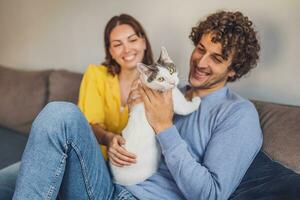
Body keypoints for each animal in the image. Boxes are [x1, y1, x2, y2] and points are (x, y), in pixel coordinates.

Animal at [109, 46, 200, 185]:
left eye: (171, 70)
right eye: (160, 79)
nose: (173, 83)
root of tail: (119, 181)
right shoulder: (175, 101)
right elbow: (186, 108)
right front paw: (196, 99)